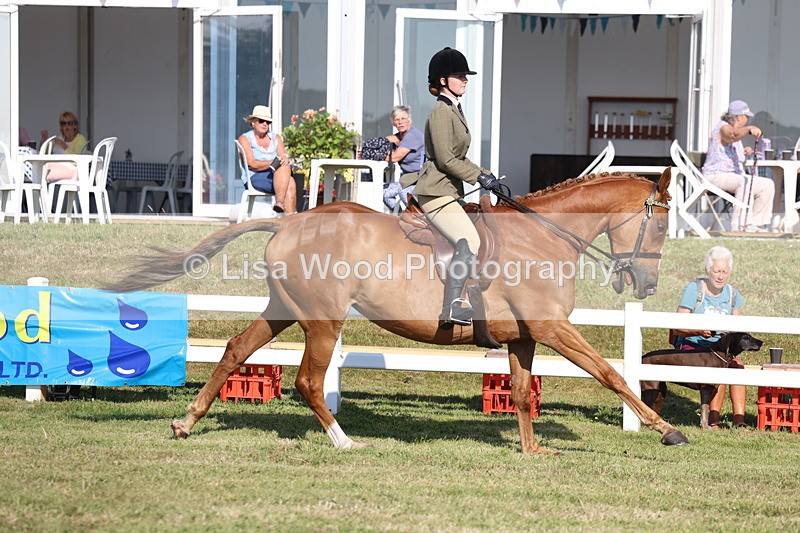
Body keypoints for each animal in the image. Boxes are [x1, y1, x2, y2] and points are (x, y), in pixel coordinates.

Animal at [104, 169, 687, 454]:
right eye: (660, 223)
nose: (646, 283)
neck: (543, 236)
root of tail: (290, 220)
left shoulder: (525, 336)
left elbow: (523, 394)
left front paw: (531, 452)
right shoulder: (553, 327)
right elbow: (611, 374)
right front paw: (665, 430)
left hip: (283, 308)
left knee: (234, 351)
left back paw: (185, 423)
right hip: (323, 319)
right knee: (308, 381)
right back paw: (344, 441)